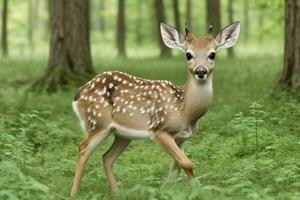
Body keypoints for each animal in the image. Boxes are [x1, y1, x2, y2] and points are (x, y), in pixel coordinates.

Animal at [69, 21, 239, 197]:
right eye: (188, 54)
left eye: (212, 54)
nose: (200, 71)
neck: (185, 111)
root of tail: (79, 93)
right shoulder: (159, 129)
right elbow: (187, 163)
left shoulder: (182, 137)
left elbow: (177, 167)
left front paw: (168, 191)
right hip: (98, 122)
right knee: (83, 148)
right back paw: (73, 194)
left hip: (122, 134)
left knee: (107, 157)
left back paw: (117, 193)